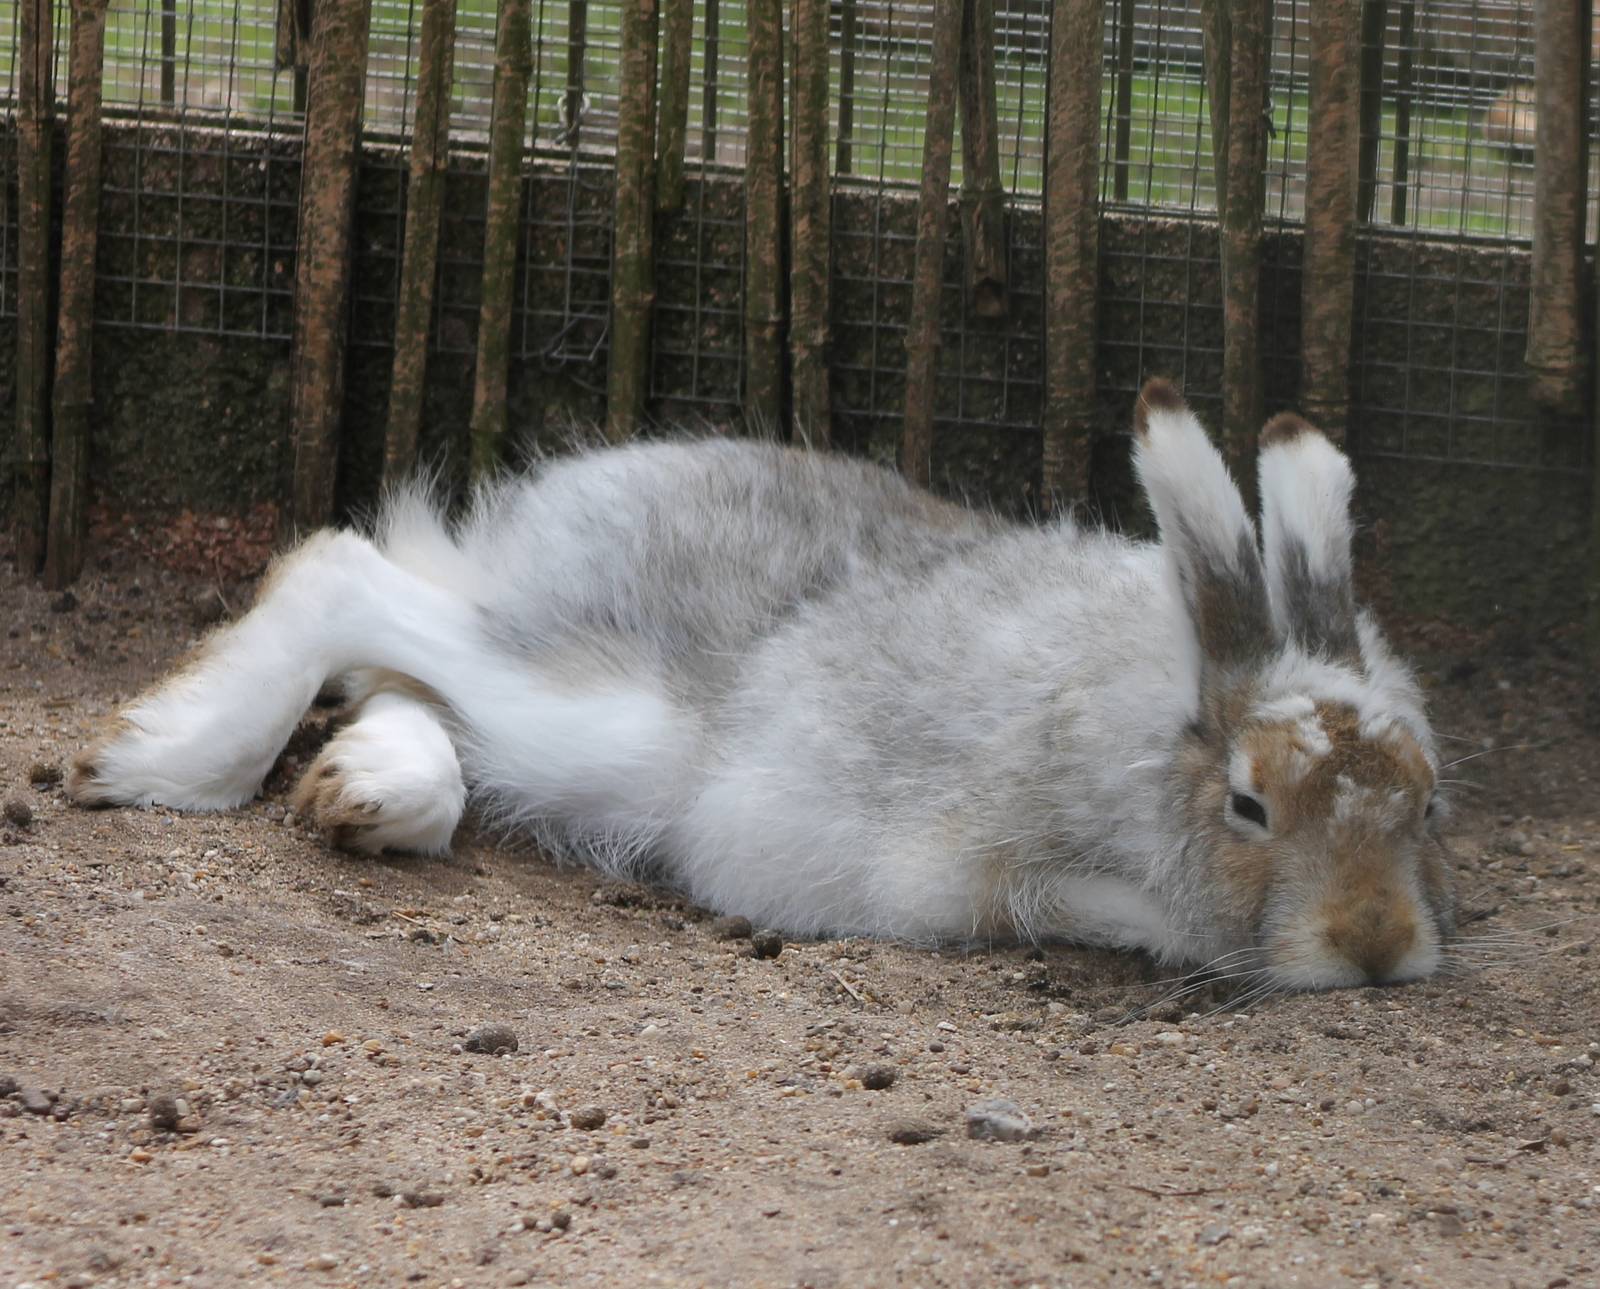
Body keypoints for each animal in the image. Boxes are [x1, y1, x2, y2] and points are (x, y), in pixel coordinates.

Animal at [66, 379, 1455, 991]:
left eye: (1425, 803)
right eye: (1251, 806)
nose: (1378, 945)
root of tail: (538, 515)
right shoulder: (965, 864)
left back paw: (369, 790)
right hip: (613, 719)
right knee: (345, 577)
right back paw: (162, 761)